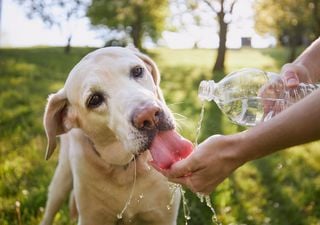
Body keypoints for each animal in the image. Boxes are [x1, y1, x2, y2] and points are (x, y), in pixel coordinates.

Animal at [41, 47, 185, 225]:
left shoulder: (164, 217)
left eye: (137, 71)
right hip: (62, 178)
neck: (126, 169)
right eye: (94, 99)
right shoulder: (90, 218)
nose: (149, 115)